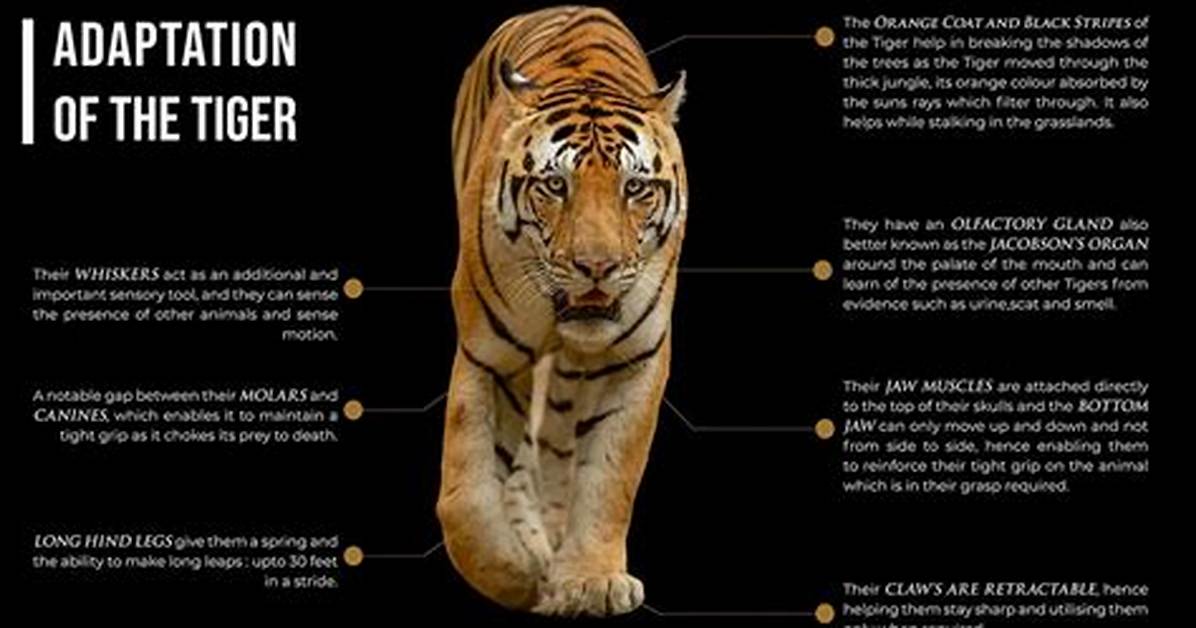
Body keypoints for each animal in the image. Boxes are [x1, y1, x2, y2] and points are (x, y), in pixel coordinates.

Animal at [436, 5, 687, 617]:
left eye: (635, 187)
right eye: (554, 184)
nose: (596, 266)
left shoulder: (639, 359)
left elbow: (609, 478)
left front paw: (591, 578)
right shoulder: (486, 354)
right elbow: (466, 494)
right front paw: (516, 576)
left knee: (553, 448)